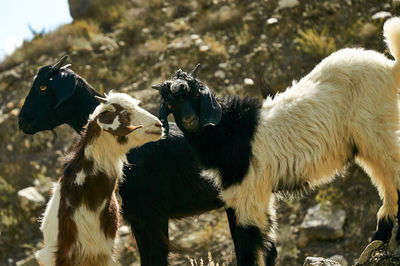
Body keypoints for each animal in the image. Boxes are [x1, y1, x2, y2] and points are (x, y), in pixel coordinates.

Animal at [153, 17, 400, 264]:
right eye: (170, 103)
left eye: (196, 94)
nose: (190, 120)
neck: (229, 132)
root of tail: (390, 69)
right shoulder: (241, 195)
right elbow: (264, 243)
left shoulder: (249, 191)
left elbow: (249, 242)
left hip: (376, 131)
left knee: (392, 173)